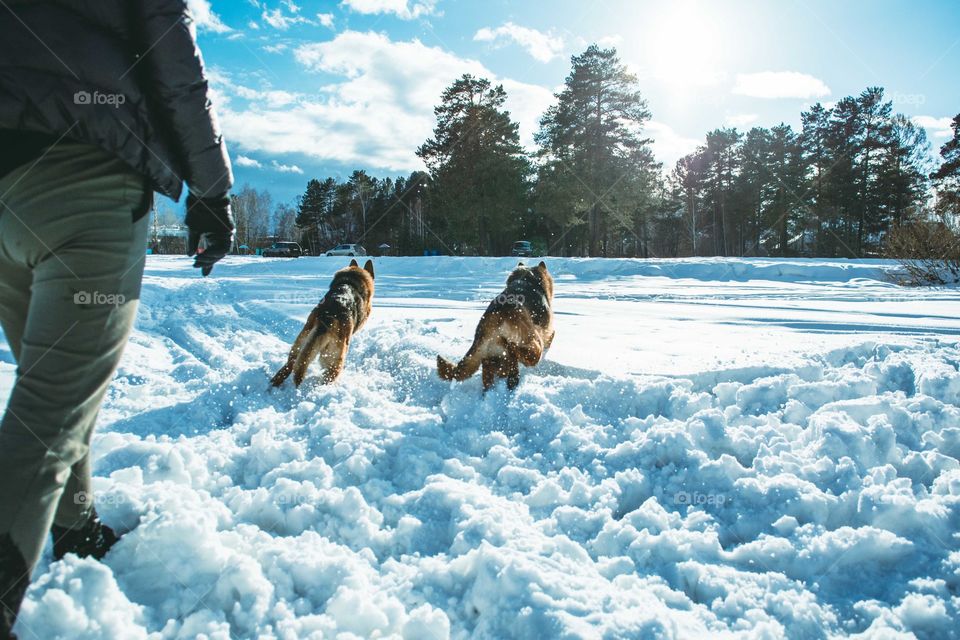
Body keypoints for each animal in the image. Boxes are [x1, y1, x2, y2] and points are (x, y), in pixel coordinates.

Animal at [436, 260, 556, 390]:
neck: (527, 279)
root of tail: (493, 317)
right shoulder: (546, 330)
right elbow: (550, 337)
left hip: (493, 357)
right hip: (532, 341)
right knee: (525, 355)